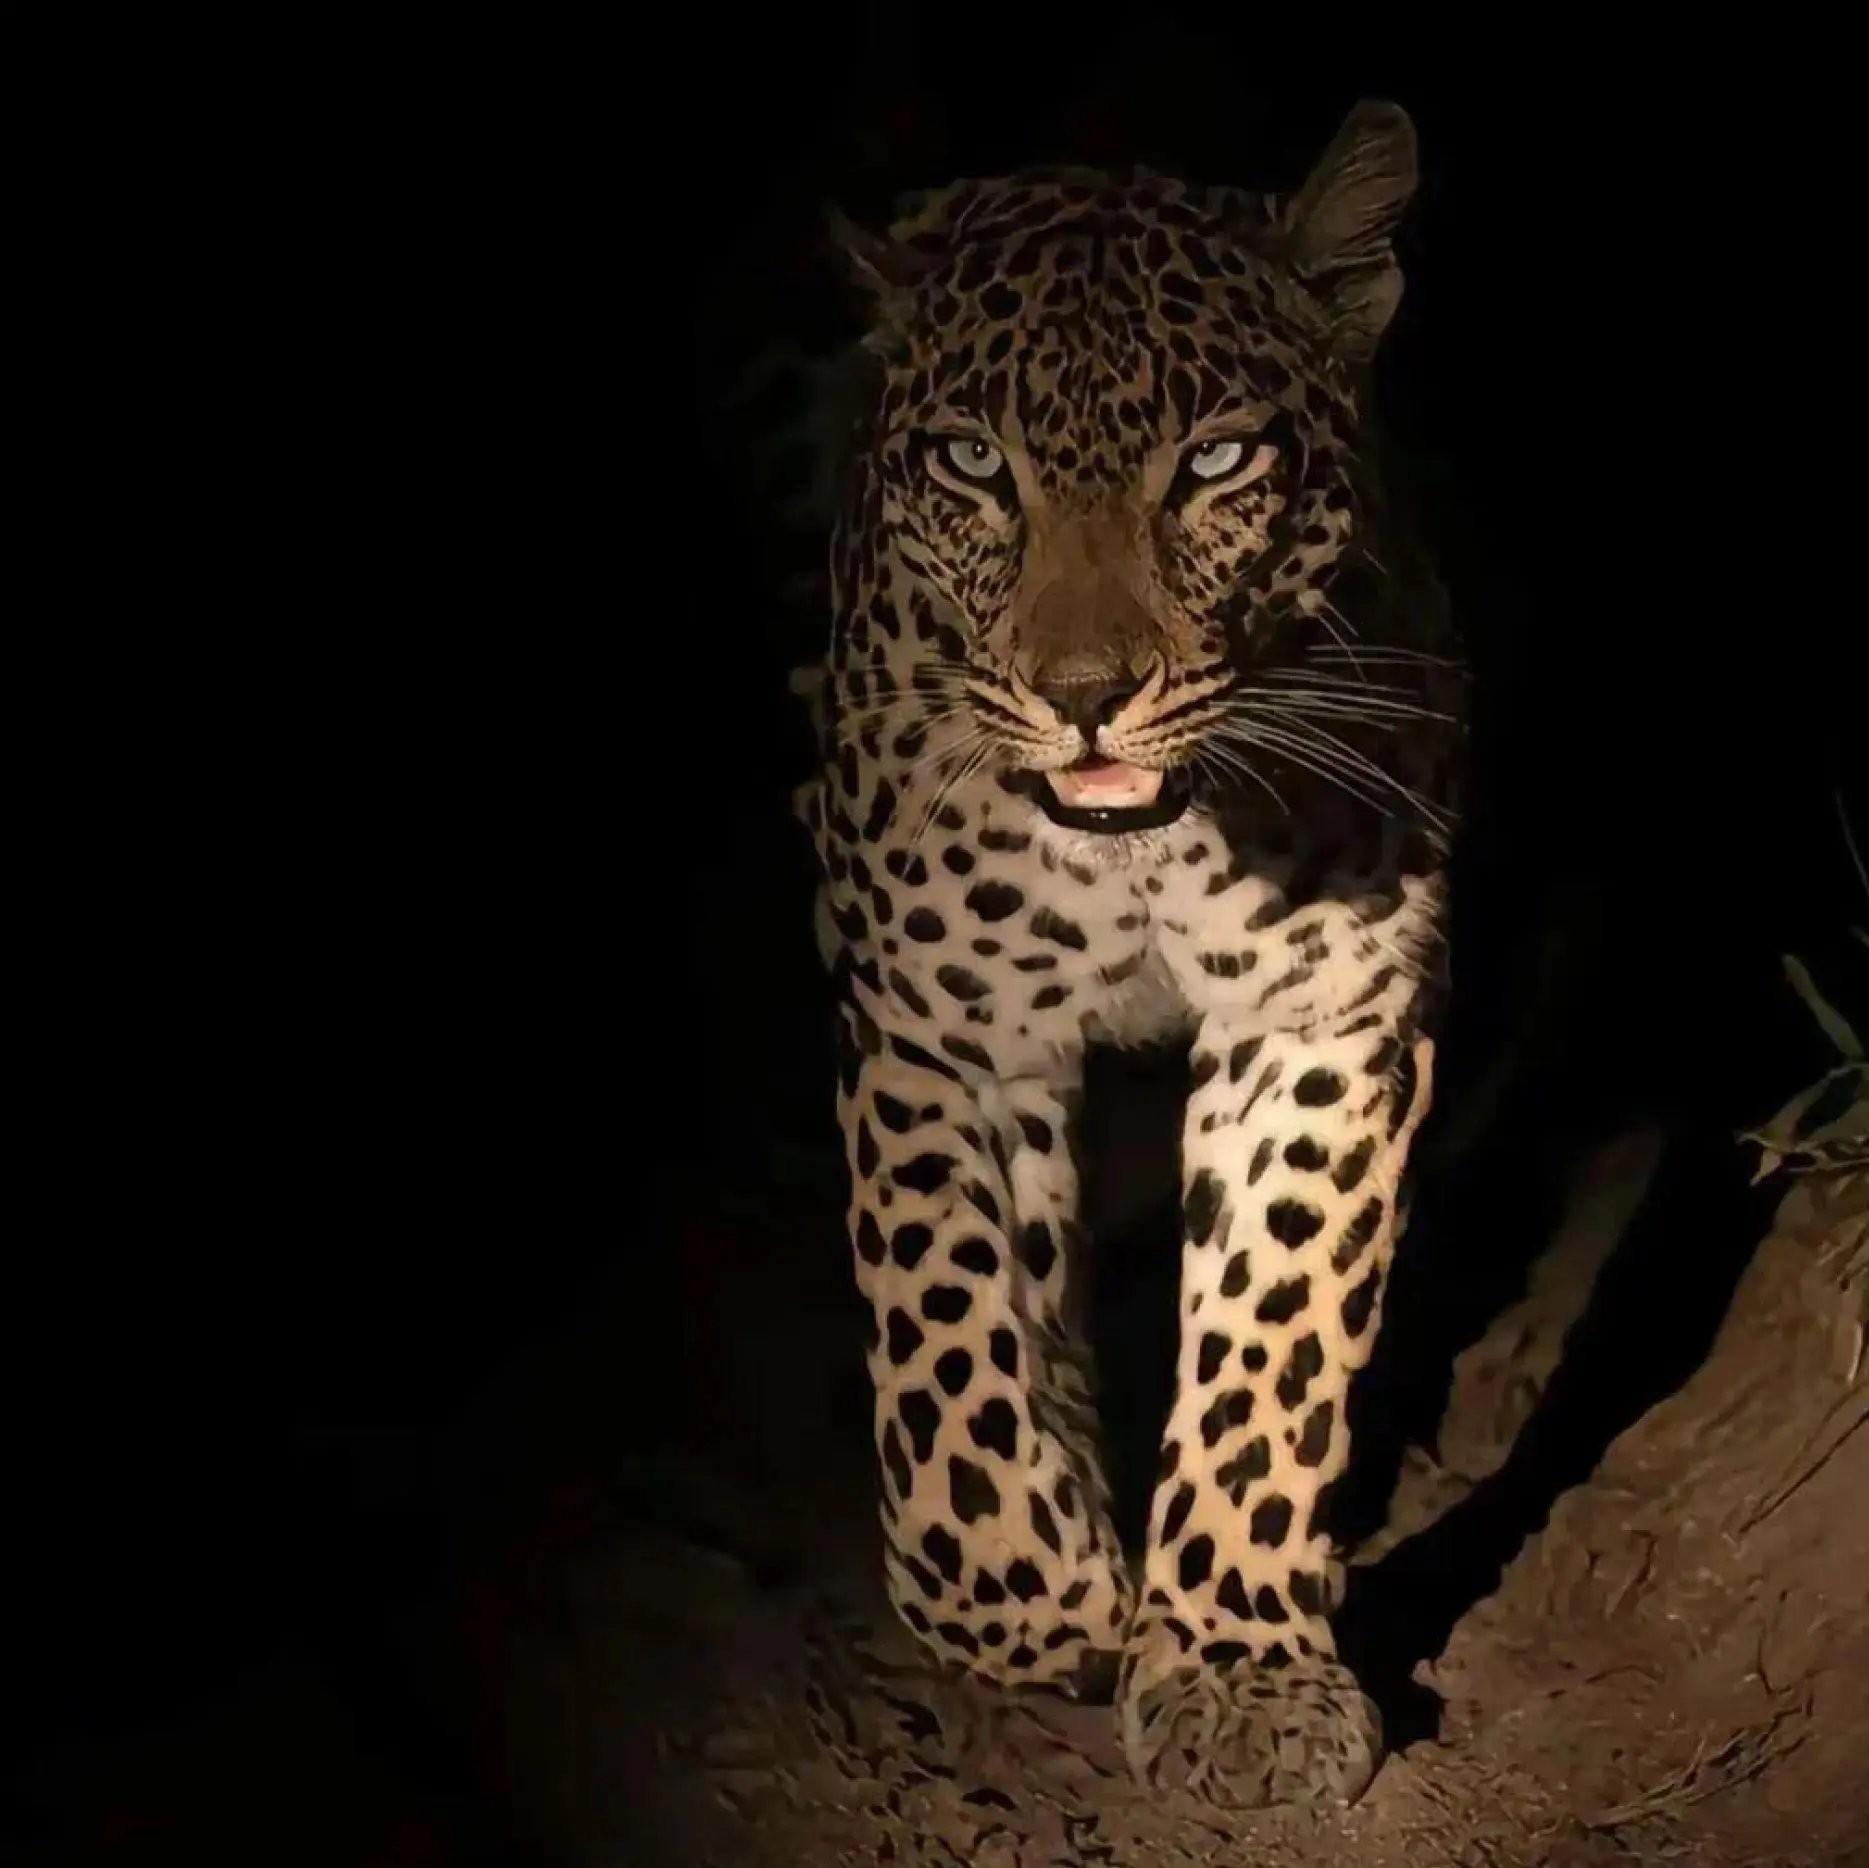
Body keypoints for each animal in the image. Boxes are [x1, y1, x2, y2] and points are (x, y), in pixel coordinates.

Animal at [793, 100, 1466, 1811]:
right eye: (976, 465)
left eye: (1214, 460)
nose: (1088, 697)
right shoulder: (936, 1032)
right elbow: (946, 1353)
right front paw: (1037, 1599)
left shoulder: (1323, 1016)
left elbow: (1271, 1343)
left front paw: (1239, 1667)